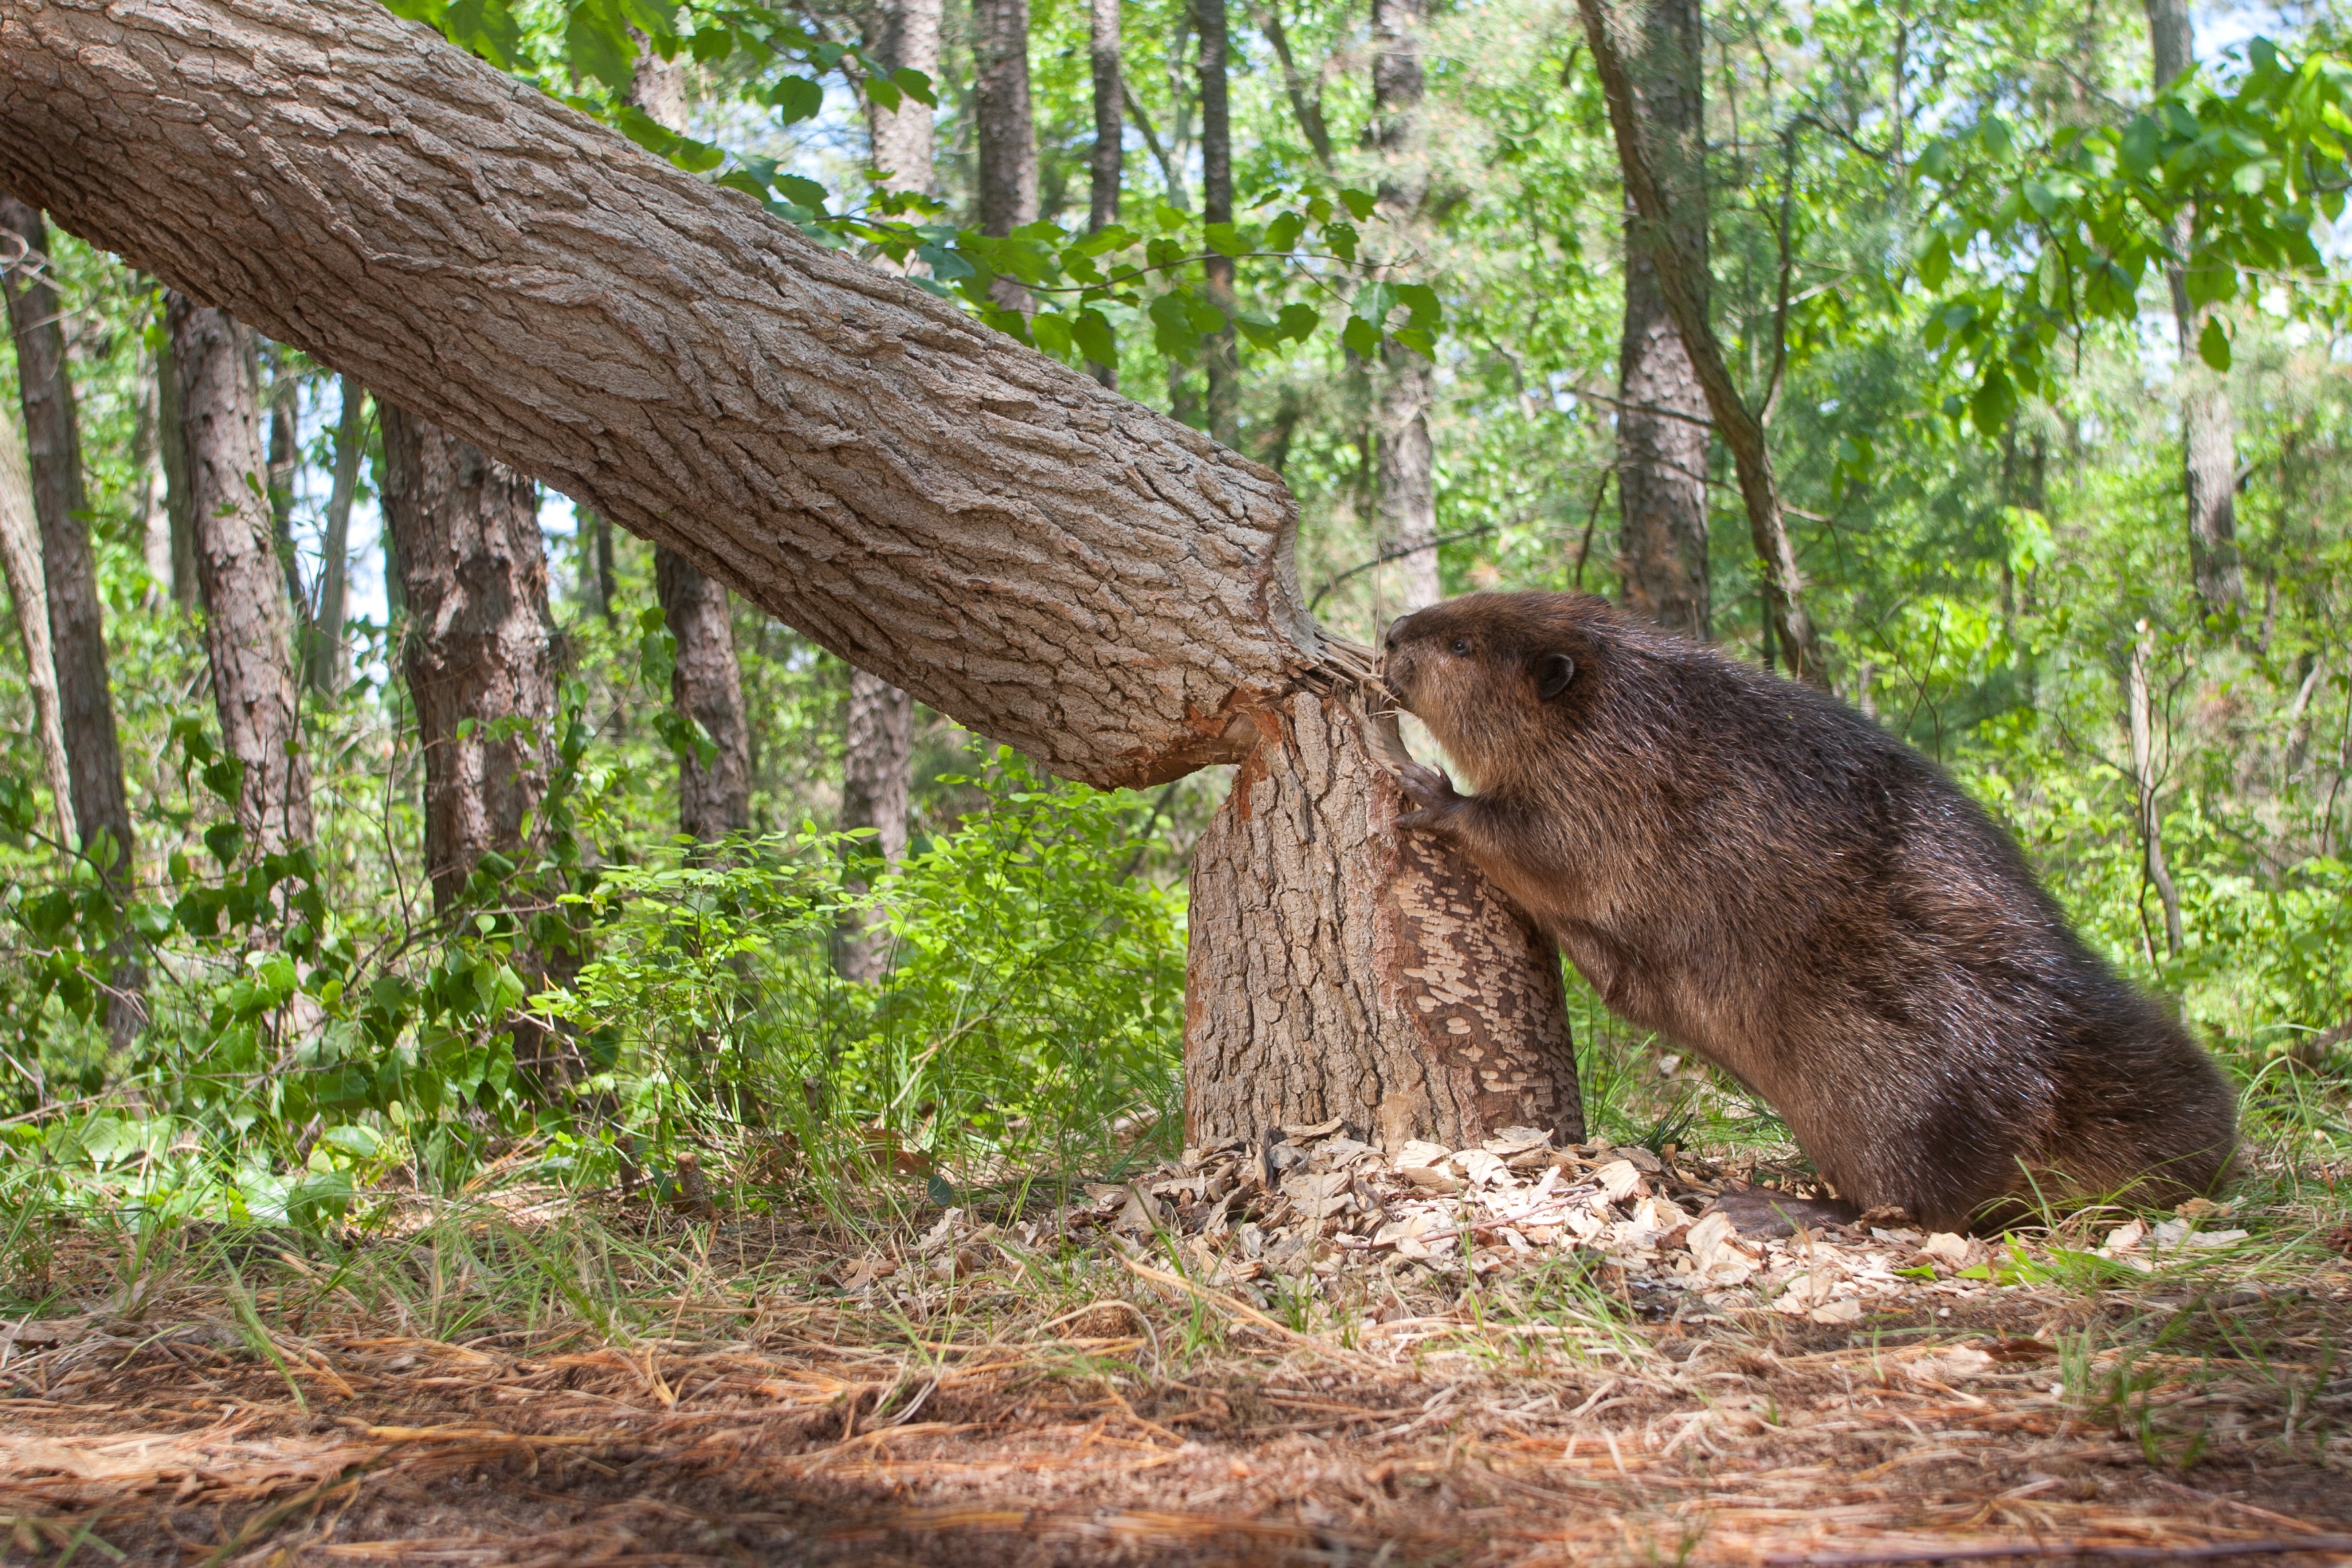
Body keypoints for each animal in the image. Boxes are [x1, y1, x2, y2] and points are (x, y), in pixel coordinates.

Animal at [1383, 587, 2229, 1222]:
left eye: (1463, 645)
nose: (1392, 632)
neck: (1622, 707)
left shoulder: (1612, 791)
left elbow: (1544, 847)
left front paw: (1430, 790)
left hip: (1887, 1085)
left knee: (1913, 1205)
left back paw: (1771, 1205)